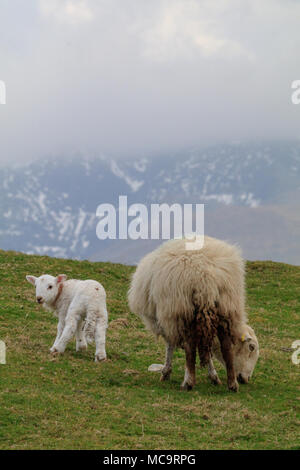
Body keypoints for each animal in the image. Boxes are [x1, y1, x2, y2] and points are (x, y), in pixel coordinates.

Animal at [127, 235, 258, 392]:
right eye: (251, 347)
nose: (246, 379)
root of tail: (204, 276)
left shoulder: (166, 318)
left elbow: (171, 344)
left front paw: (166, 372)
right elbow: (205, 349)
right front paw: (214, 376)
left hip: (182, 308)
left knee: (189, 346)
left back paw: (188, 382)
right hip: (227, 305)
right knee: (226, 346)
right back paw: (232, 384)